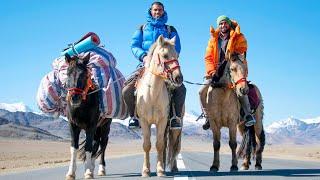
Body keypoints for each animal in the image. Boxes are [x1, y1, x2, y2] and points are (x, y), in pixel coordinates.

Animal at [136, 35, 184, 177]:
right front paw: (146, 171)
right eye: (165, 55)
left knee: (174, 145)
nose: (179, 78)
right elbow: (147, 145)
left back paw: (174, 167)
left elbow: (160, 145)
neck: (152, 94)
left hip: (175, 126)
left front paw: (160, 170)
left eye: (177, 55)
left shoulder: (162, 121)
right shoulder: (144, 121)